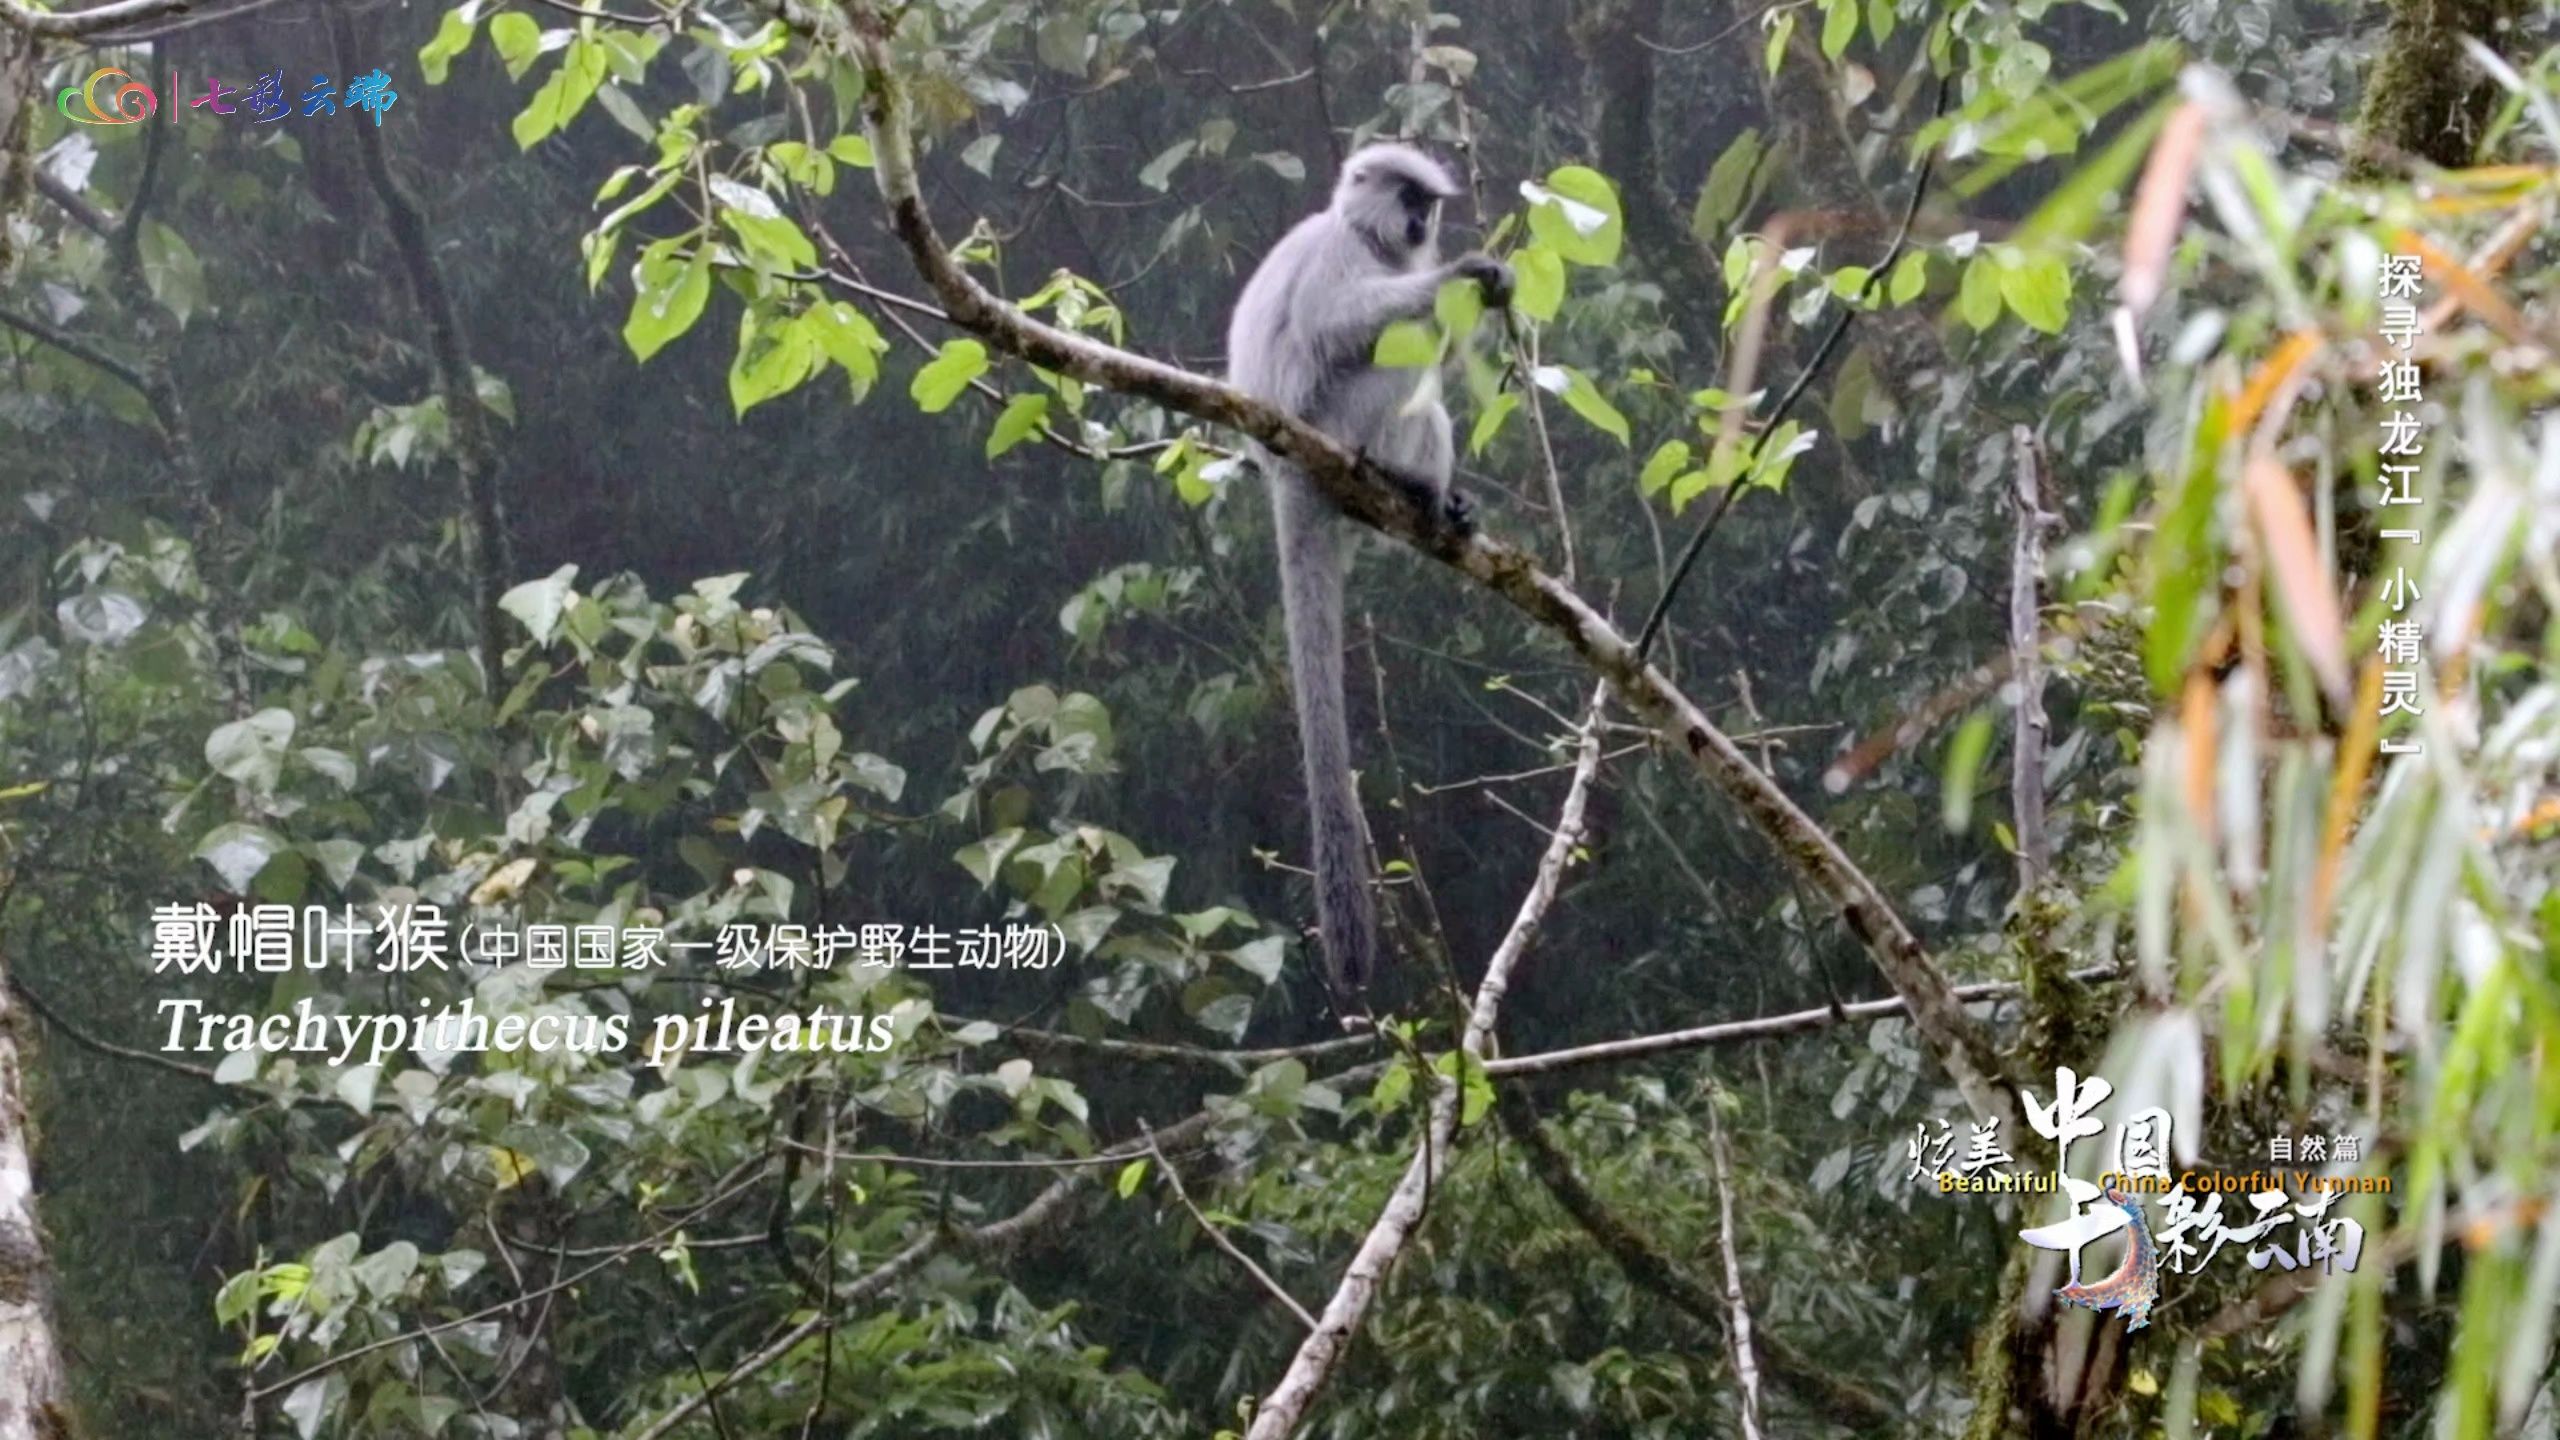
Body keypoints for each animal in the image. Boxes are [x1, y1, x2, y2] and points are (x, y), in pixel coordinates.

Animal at [1223, 140, 1505, 1004]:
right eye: (1409, 197)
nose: (1420, 227)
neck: (1364, 235)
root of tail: (1286, 469)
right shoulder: (1338, 254)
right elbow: (1336, 323)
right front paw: (1463, 274)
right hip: (1336, 417)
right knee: (1397, 357)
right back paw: (1408, 481)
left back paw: (1436, 504)